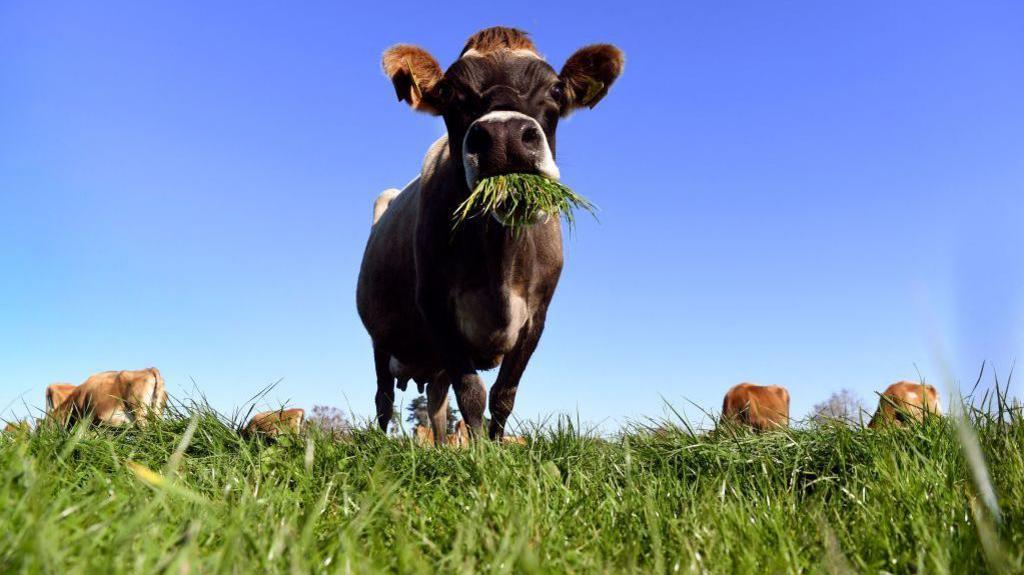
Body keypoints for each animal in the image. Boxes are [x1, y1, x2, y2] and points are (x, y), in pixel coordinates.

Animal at [352, 25, 622, 444]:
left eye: (556, 89)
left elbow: (503, 394)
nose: (504, 135)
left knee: (436, 402)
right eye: (449, 91)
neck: (499, 259)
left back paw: (440, 447)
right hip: (380, 335)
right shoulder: (435, 306)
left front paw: (495, 448)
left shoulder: (535, 317)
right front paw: (480, 452)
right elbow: (473, 393)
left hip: (433, 362)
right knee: (383, 397)